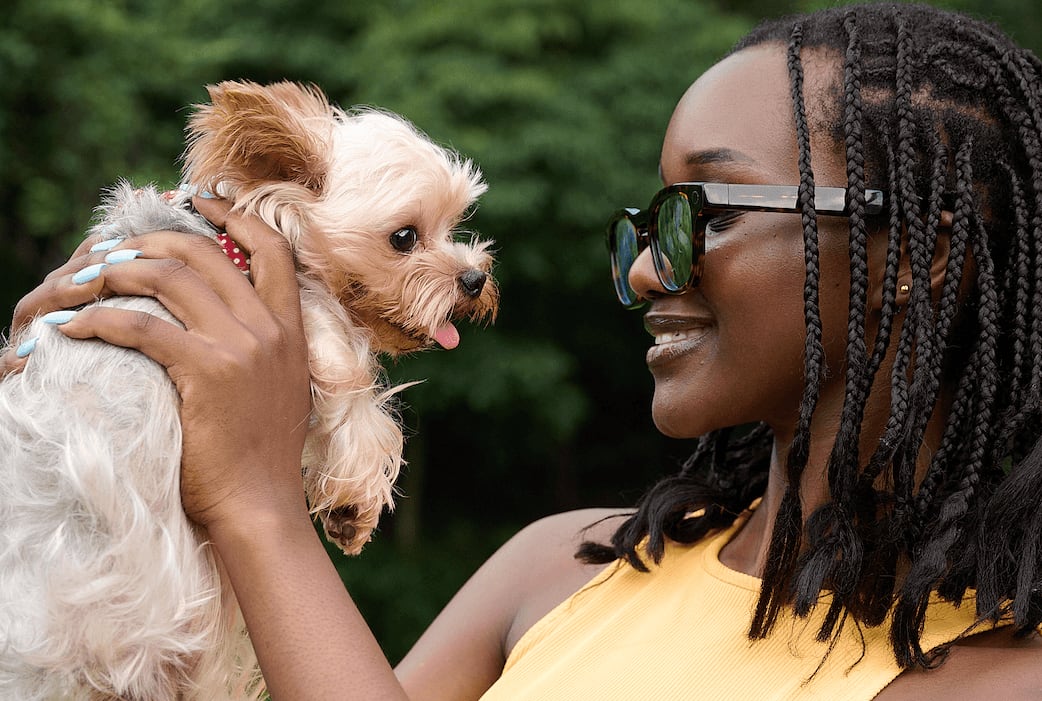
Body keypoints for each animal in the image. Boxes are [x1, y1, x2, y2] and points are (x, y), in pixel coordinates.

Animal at [0, 80, 498, 699]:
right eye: (404, 238)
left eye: (455, 224)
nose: (475, 278)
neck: (247, 233)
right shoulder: (308, 317)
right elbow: (352, 386)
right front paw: (354, 502)